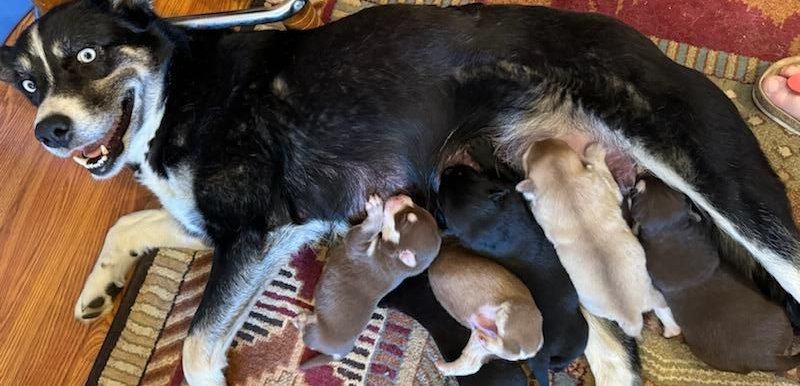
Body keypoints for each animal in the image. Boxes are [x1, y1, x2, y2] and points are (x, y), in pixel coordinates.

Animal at [296, 195, 440, 366]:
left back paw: (301, 320)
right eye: (418, 206)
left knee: (307, 335)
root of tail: (341, 353)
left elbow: (365, 231)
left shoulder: (356, 243)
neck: (395, 263)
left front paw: (376, 212)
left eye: (404, 219)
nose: (402, 196)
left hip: (314, 333)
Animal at [428, 240, 548, 376]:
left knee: (510, 349)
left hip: (507, 314)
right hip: (478, 344)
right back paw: (440, 365)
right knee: (470, 364)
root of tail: (537, 345)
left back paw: (485, 340)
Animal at [516, 139, 680, 338]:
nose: (541, 140)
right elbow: (606, 176)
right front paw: (595, 152)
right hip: (655, 294)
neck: (562, 182)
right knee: (666, 313)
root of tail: (631, 317)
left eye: (526, 157)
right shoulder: (604, 183)